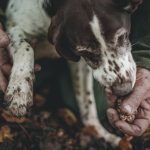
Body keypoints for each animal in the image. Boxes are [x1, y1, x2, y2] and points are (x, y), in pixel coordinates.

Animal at [4, 0, 142, 146]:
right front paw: (19, 90)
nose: (123, 90)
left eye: (122, 36)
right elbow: (25, 47)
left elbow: (87, 102)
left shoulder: (80, 65)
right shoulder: (14, 28)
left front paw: (99, 132)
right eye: (85, 52)